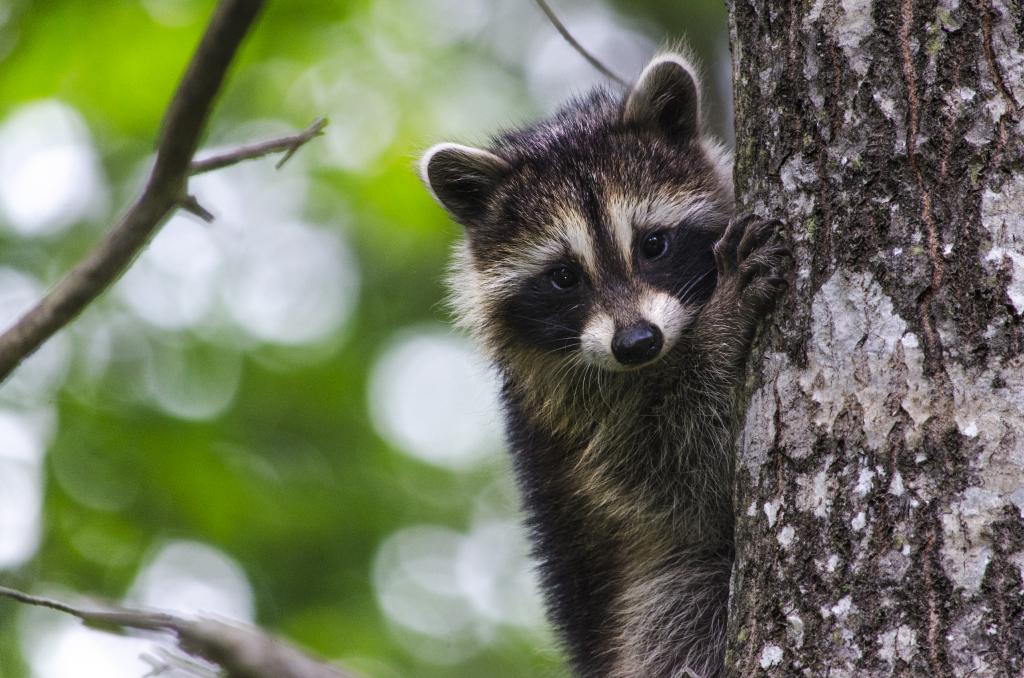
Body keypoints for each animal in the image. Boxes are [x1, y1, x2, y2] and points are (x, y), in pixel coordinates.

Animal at [419, 54, 786, 678]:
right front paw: (721, 327)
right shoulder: (579, 412)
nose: (637, 342)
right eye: (564, 276)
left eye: (654, 244)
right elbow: (683, 472)